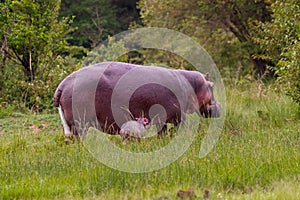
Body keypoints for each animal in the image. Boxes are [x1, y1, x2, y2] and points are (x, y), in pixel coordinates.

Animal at [54, 61, 220, 140]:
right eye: (212, 86)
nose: (219, 107)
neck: (192, 84)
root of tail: (62, 85)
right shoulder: (176, 117)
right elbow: (171, 131)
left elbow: (163, 133)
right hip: (79, 123)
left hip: (69, 124)